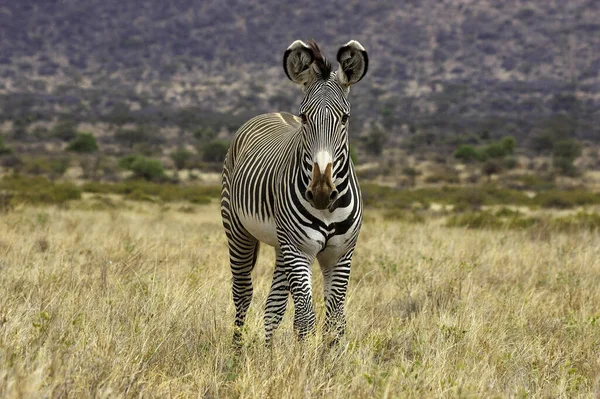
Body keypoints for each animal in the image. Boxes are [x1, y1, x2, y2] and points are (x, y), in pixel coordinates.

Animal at [221, 41, 368, 346]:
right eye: (304, 117)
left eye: (345, 118)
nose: (322, 192)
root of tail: (271, 113)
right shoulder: (300, 250)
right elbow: (305, 320)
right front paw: (304, 360)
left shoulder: (341, 254)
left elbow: (335, 322)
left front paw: (330, 359)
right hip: (239, 229)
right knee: (242, 294)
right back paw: (236, 353)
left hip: (281, 244)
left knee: (273, 307)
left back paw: (267, 353)